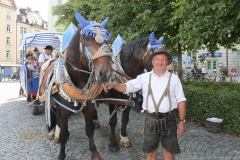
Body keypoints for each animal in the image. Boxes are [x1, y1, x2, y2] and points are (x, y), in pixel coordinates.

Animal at [39, 12, 113, 160]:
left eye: (107, 41)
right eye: (87, 39)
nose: (105, 73)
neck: (80, 82)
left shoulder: (89, 108)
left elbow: (89, 130)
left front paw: (94, 152)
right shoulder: (63, 110)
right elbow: (64, 134)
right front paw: (61, 154)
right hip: (48, 102)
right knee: (52, 116)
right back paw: (52, 132)